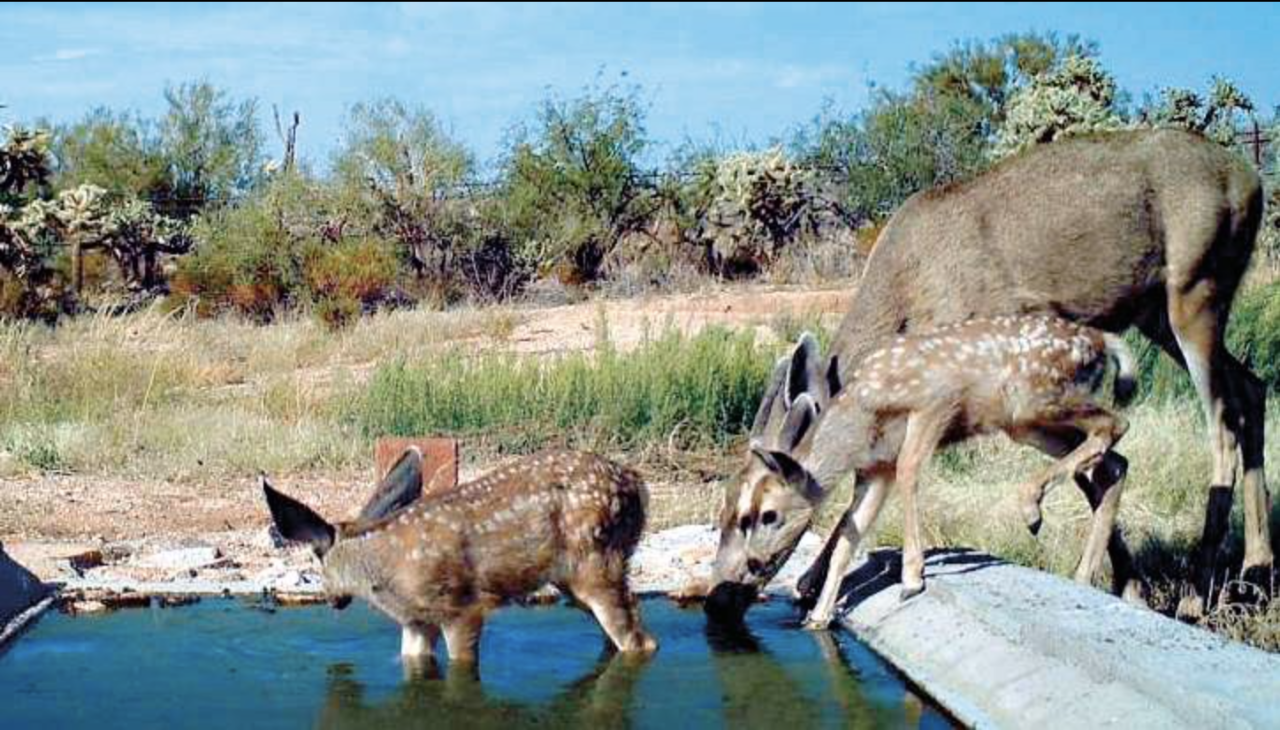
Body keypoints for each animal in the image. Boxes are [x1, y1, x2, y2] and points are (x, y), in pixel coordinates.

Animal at [711, 128, 1269, 617]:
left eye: (754, 513)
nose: (721, 593)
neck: (908, 293)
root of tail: (1253, 179)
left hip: (1195, 286)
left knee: (1220, 421)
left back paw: (1198, 591)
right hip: (1157, 311)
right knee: (1252, 387)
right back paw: (1255, 571)